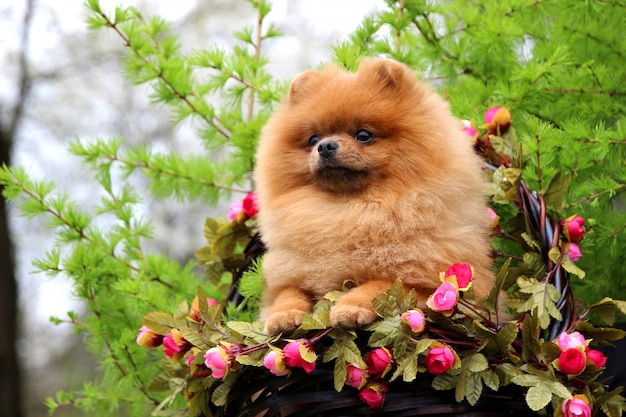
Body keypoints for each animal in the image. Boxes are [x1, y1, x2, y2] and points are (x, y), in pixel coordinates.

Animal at [254, 58, 492, 334]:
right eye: (314, 138)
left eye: (363, 135)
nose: (325, 146)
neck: (352, 208)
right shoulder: (290, 273)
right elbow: (289, 292)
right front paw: (283, 314)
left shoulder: (433, 284)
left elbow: (381, 284)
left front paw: (350, 306)